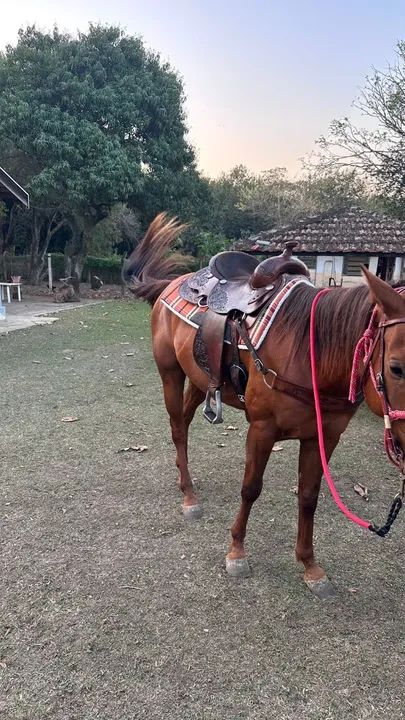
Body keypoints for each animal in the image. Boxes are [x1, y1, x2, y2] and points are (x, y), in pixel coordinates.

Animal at [124, 213, 405, 598]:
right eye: (396, 367)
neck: (311, 352)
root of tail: (173, 283)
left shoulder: (323, 437)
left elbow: (308, 496)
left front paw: (310, 566)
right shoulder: (262, 429)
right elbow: (251, 488)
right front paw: (236, 552)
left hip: (199, 379)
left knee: (183, 421)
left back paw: (185, 477)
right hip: (170, 372)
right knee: (178, 427)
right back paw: (189, 497)